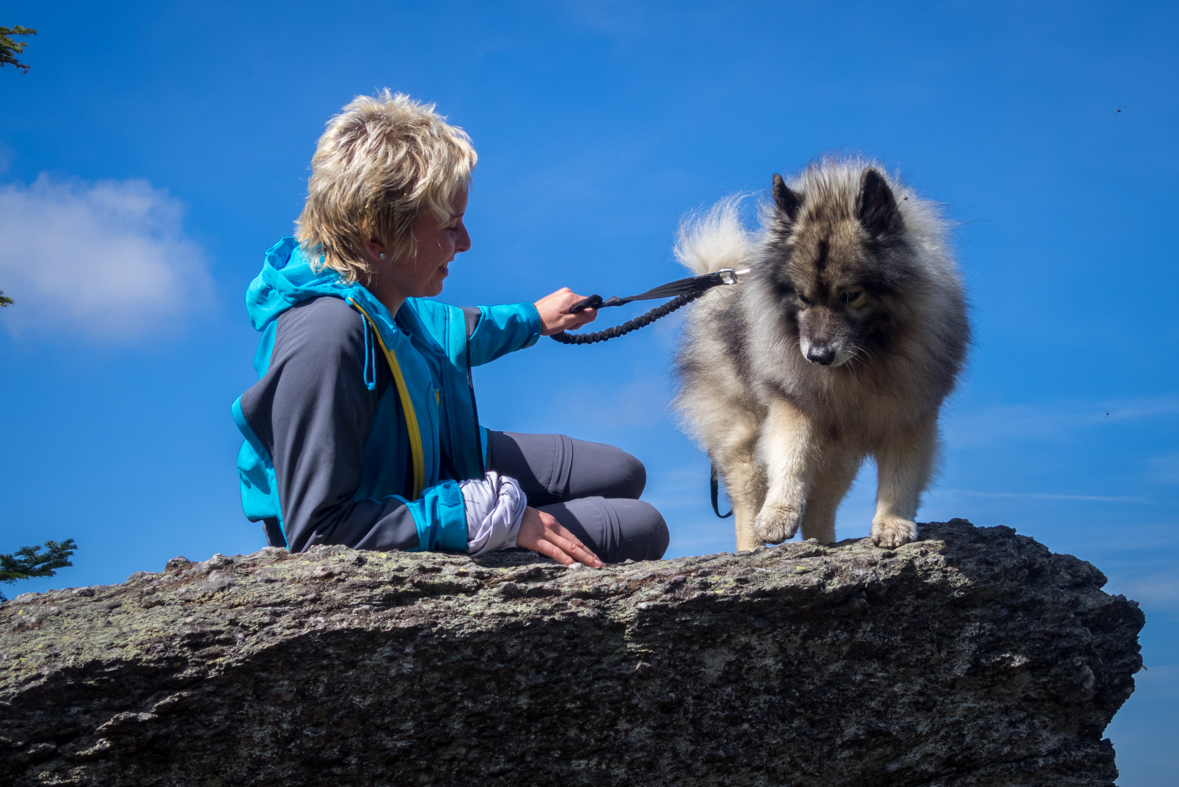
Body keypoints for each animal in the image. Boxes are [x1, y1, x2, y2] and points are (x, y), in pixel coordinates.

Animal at [674, 157, 966, 553]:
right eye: (802, 297)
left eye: (851, 295)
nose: (818, 356)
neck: (864, 359)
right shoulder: (794, 405)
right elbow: (790, 458)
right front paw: (778, 515)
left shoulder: (908, 416)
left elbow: (900, 475)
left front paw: (893, 524)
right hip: (745, 440)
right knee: (747, 503)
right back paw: (752, 547)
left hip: (838, 455)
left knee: (821, 504)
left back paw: (822, 543)